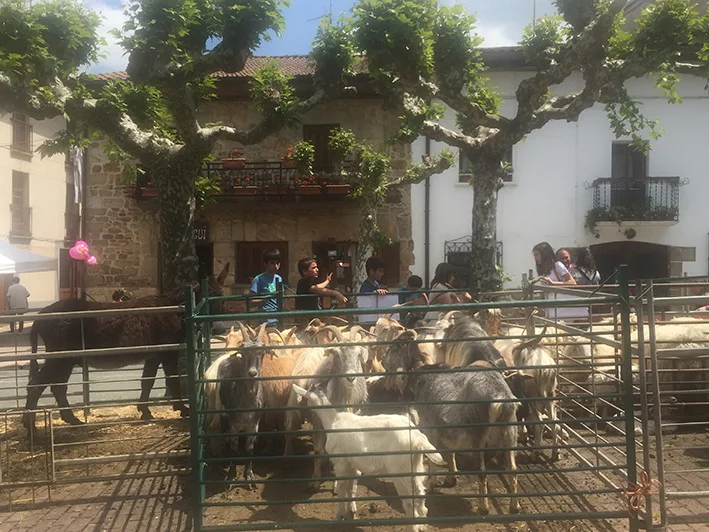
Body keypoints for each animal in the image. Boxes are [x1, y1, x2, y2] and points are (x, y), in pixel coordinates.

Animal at [23, 264, 228, 437]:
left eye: (222, 296)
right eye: (208, 298)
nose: (220, 329)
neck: (175, 309)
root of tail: (40, 316)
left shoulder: (154, 354)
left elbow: (147, 382)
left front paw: (145, 412)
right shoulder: (168, 352)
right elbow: (172, 380)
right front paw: (182, 409)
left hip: (66, 361)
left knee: (57, 387)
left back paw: (71, 420)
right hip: (60, 359)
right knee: (36, 386)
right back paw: (31, 428)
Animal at [292, 384, 445, 531]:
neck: (333, 420)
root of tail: (418, 438)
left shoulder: (341, 462)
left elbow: (341, 487)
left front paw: (339, 515)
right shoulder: (352, 463)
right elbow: (350, 486)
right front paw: (351, 512)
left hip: (401, 469)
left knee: (409, 498)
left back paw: (412, 527)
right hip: (415, 464)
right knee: (419, 492)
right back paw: (421, 524)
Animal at [407, 362, 520, 515]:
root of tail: (502, 400)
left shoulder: (430, 425)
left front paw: (431, 484)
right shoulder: (446, 429)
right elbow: (450, 452)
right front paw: (451, 478)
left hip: (479, 433)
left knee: (482, 470)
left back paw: (483, 508)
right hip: (510, 431)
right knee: (512, 468)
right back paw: (515, 507)